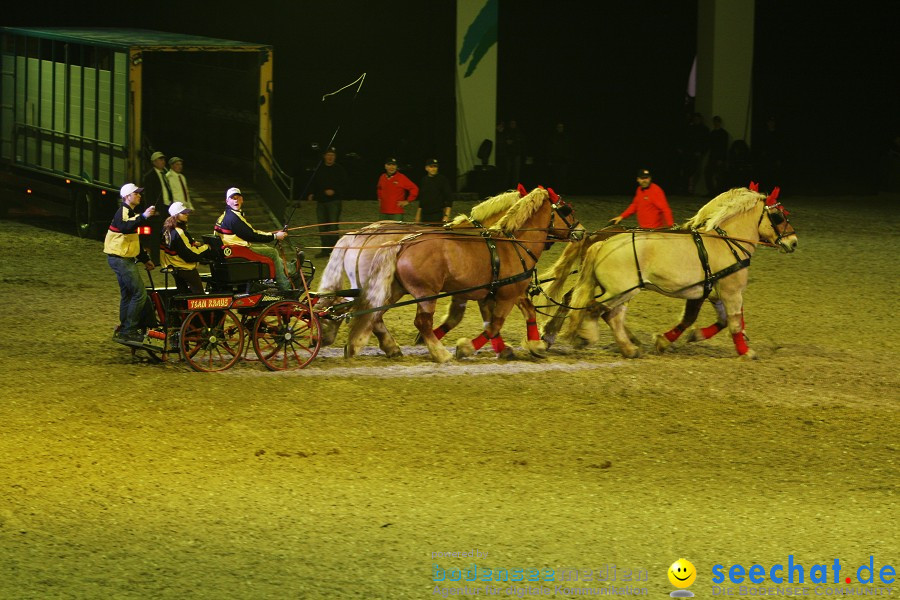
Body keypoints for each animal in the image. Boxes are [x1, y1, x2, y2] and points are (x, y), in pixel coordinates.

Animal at [560, 185, 800, 358]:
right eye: (778, 216)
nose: (793, 242)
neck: (725, 243)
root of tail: (602, 242)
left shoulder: (708, 291)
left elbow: (709, 320)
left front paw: (676, 338)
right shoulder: (731, 291)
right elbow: (732, 321)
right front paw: (745, 351)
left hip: (625, 291)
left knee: (609, 314)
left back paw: (629, 349)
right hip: (621, 290)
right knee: (595, 308)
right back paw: (586, 337)